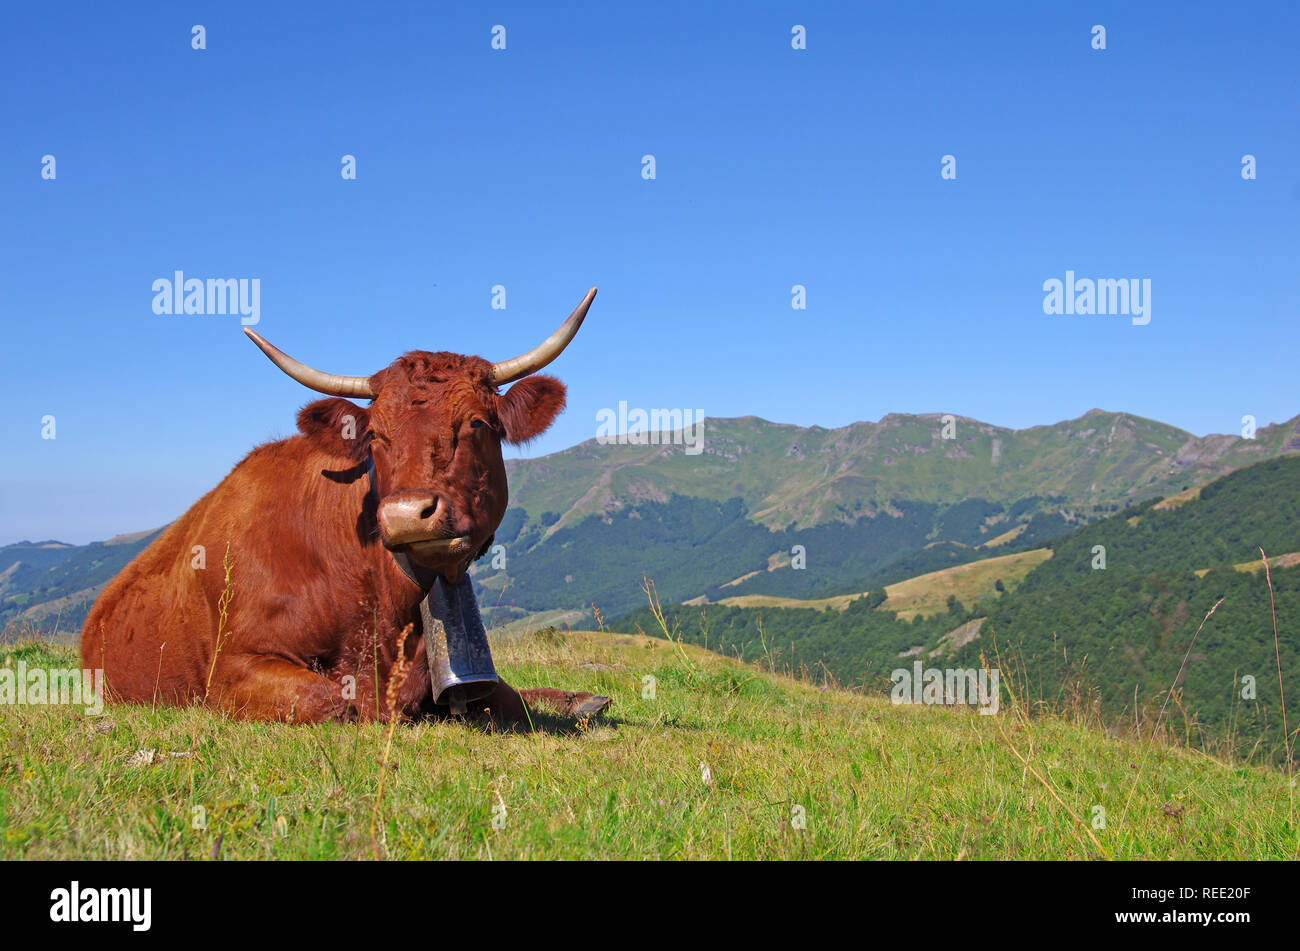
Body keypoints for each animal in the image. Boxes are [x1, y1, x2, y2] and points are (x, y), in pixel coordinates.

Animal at [80, 288, 610, 729]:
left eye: (477, 422)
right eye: (374, 434)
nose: (406, 513)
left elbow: (505, 695)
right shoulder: (231, 668)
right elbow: (336, 701)